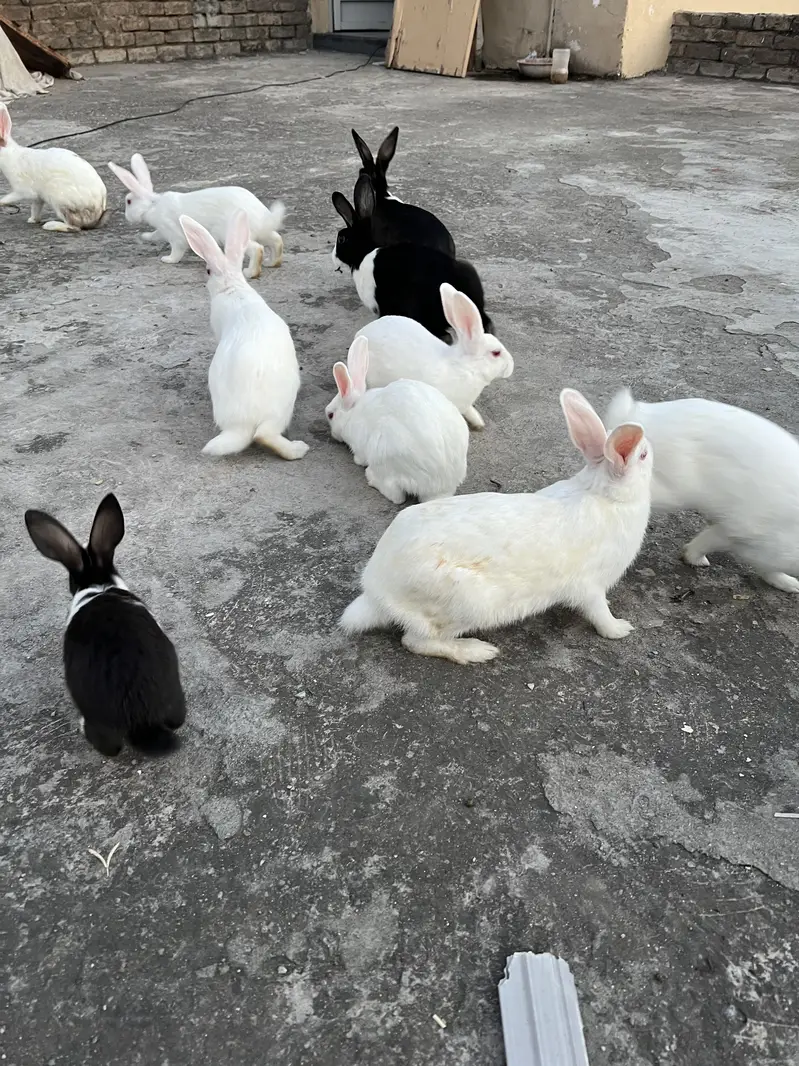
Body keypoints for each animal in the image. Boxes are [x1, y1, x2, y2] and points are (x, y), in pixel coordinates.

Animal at [0, 102, 107, 232]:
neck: (9, 155)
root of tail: (96, 217)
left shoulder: (23, 190)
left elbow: (11, 197)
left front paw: (1, 202)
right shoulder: (38, 197)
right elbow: (35, 208)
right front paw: (32, 220)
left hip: (60, 201)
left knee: (74, 226)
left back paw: (50, 225)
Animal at [107, 153, 284, 278]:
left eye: (129, 201)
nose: (127, 217)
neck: (152, 205)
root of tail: (263, 218)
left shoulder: (173, 233)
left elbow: (177, 249)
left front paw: (167, 260)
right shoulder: (162, 230)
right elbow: (154, 236)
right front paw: (143, 236)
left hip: (230, 234)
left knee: (257, 249)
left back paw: (250, 272)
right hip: (264, 234)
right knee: (276, 241)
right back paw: (271, 263)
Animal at [325, 336, 469, 504]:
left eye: (330, 415)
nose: (333, 435)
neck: (353, 412)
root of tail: (438, 488)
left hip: (384, 458)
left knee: (396, 495)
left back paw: (371, 478)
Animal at [340, 389, 651, 664]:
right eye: (644, 455)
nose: (651, 452)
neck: (604, 495)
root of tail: (377, 593)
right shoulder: (591, 585)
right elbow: (599, 613)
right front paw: (621, 629)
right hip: (466, 604)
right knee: (417, 641)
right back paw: (477, 651)